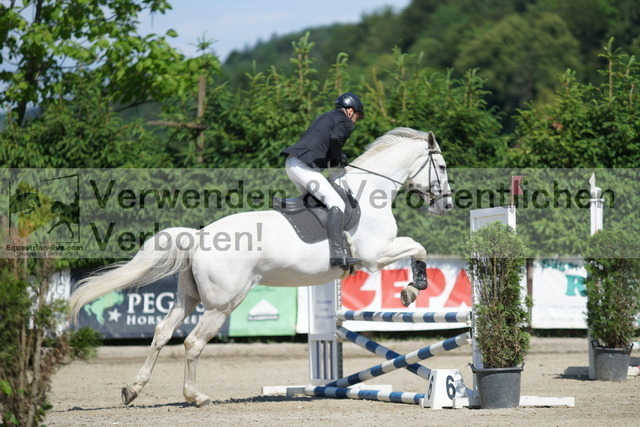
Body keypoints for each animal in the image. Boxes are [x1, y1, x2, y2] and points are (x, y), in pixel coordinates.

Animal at [69, 127, 454, 407]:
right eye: (443, 167)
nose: (446, 206)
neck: (372, 190)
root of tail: (199, 236)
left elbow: (416, 247)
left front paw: (410, 289)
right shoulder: (376, 255)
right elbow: (417, 247)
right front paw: (412, 289)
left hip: (189, 298)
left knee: (162, 332)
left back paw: (132, 390)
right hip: (223, 304)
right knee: (193, 343)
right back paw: (196, 397)